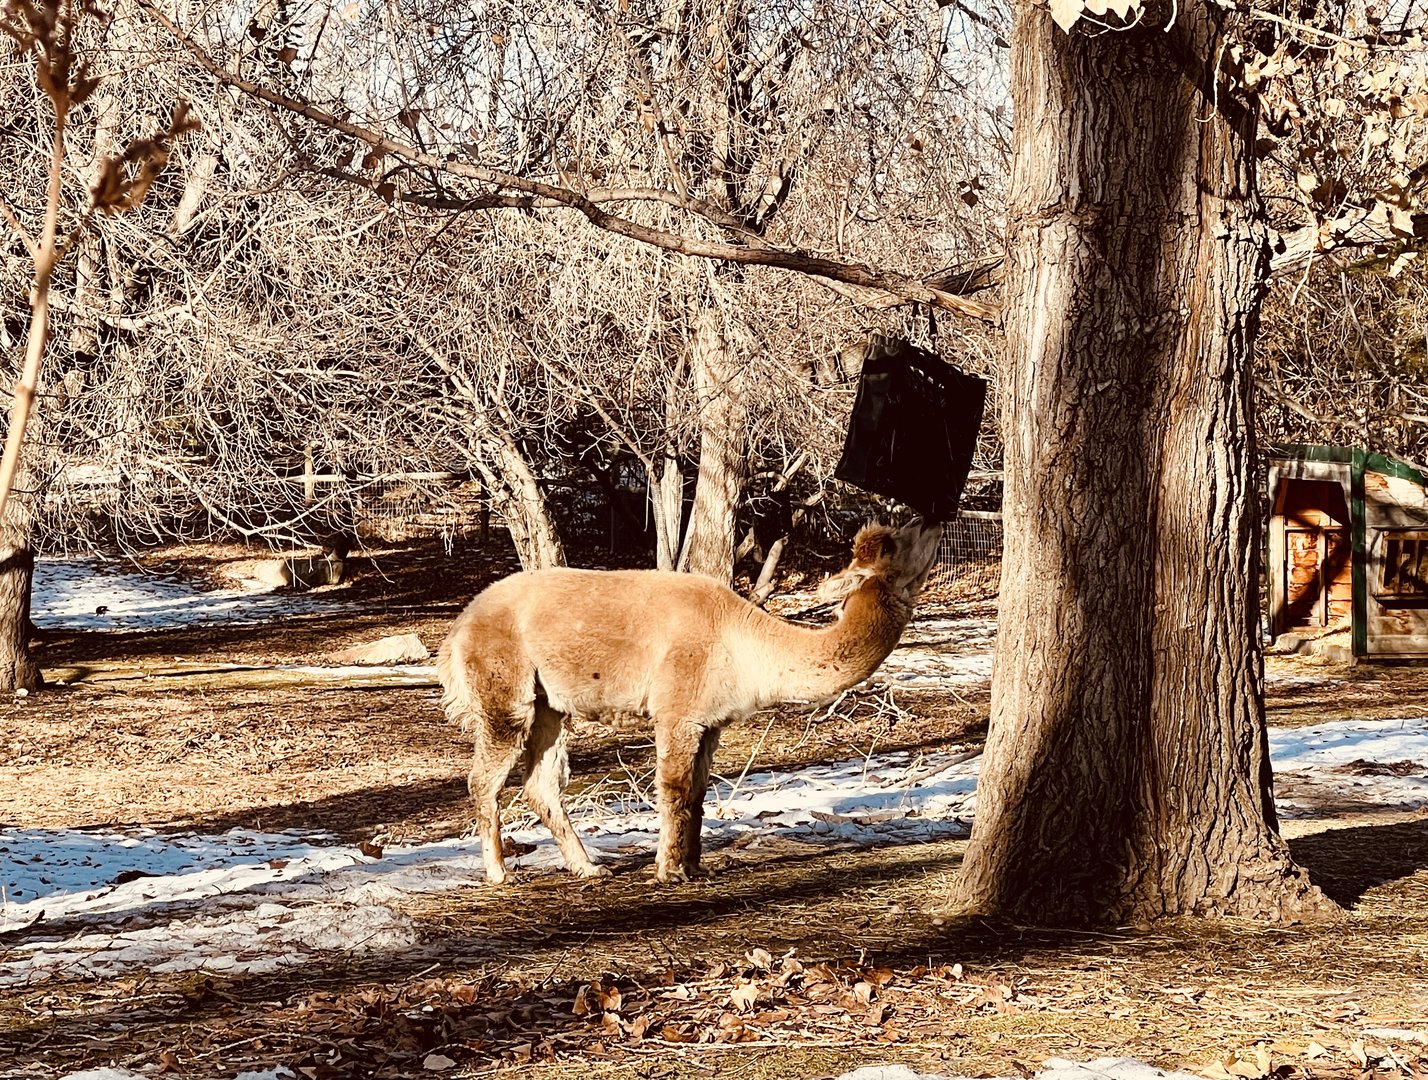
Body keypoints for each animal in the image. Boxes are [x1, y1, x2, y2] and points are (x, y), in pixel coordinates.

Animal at [436, 518, 943, 884]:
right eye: (901, 542)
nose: (930, 520)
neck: (746, 643)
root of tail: (460, 625)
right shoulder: (677, 710)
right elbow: (674, 789)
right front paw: (667, 871)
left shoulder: (710, 720)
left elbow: (698, 792)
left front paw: (696, 865)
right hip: (504, 687)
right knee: (483, 778)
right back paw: (499, 874)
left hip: (549, 705)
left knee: (541, 785)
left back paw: (589, 867)